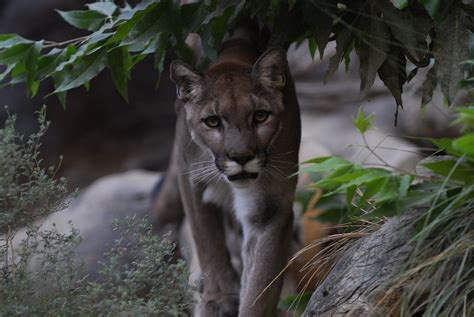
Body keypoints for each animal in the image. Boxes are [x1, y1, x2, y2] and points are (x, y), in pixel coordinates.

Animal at [154, 37, 302, 316]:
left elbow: (260, 283)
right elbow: (207, 240)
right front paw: (219, 298)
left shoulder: (269, 208)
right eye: (212, 121)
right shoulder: (191, 179)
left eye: (260, 116)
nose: (241, 157)